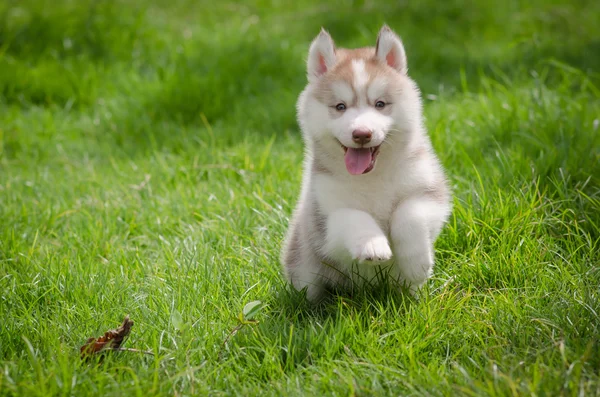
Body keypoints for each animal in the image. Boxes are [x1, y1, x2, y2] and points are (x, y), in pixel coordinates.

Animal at [282, 25, 450, 300]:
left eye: (380, 104)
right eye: (340, 106)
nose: (362, 134)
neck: (373, 176)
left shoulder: (431, 194)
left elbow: (409, 214)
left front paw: (416, 264)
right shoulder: (325, 219)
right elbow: (354, 216)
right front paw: (374, 246)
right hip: (303, 262)